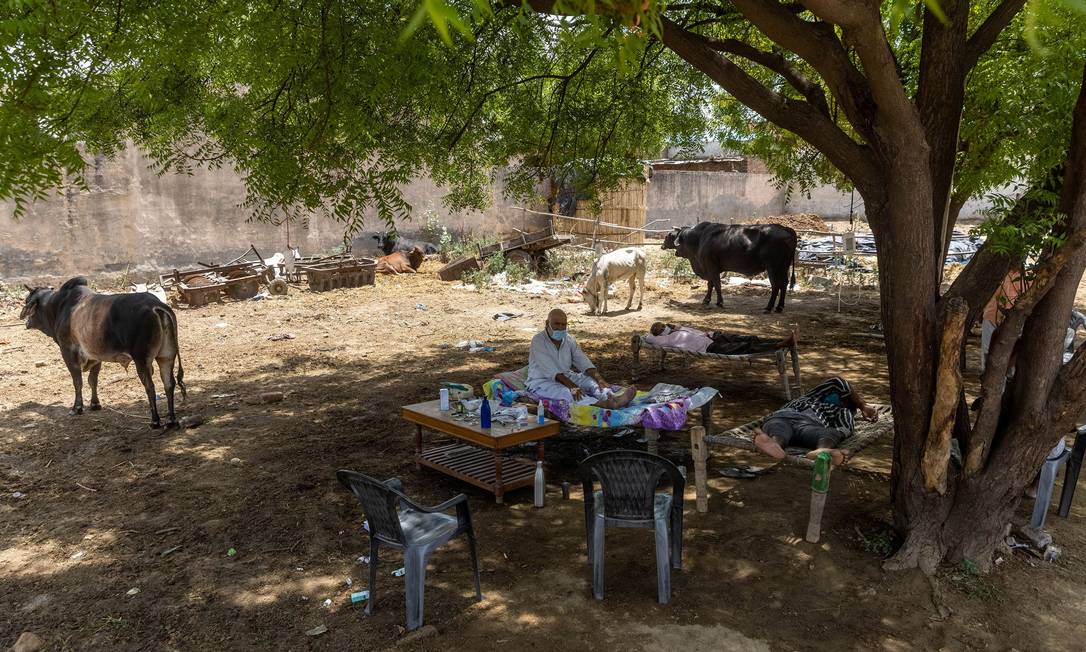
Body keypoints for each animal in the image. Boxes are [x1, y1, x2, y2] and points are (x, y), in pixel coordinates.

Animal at [20, 274, 186, 428]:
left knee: (150, 387)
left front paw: (77, 408)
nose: (25, 320)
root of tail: (156, 305)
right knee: (169, 383)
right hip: (167, 355)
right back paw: (171, 420)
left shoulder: (68, 352)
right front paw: (95, 404)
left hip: (142, 359)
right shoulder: (95, 356)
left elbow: (77, 381)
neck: (58, 306)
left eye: (27, 301)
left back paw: (155, 421)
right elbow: (92, 380)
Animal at [660, 221, 799, 312]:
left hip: (773, 268)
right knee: (784, 284)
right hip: (783, 267)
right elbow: (711, 284)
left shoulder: (710, 266)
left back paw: (769, 307)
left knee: (776, 286)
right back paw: (780, 307)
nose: (662, 246)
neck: (699, 238)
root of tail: (785, 228)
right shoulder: (711, 267)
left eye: (668, 236)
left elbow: (716, 284)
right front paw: (707, 300)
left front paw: (719, 302)